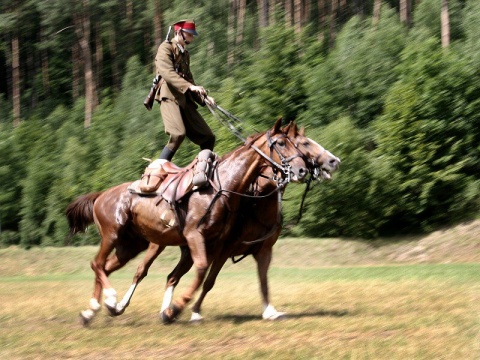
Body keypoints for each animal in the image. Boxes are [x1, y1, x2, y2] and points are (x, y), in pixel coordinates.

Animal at [66, 119, 312, 326]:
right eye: (281, 143)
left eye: (298, 145)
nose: (302, 170)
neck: (223, 185)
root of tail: (101, 195)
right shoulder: (197, 237)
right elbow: (202, 271)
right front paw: (175, 309)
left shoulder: (215, 244)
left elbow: (201, 276)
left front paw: (170, 311)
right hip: (114, 235)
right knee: (99, 264)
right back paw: (109, 300)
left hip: (131, 246)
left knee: (107, 267)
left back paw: (92, 311)